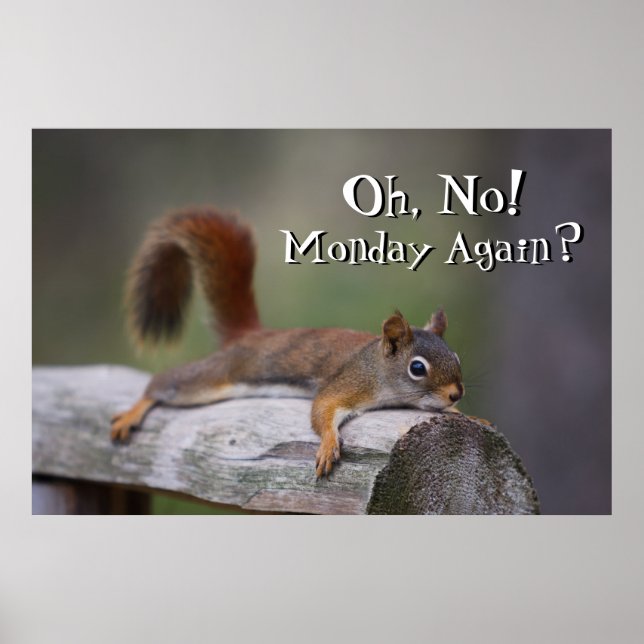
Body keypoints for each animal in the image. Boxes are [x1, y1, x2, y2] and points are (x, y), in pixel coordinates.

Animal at [111, 207, 465, 478]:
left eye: (457, 358)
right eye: (417, 368)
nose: (456, 393)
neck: (378, 368)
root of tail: (251, 335)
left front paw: (463, 413)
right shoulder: (349, 383)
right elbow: (322, 409)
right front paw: (328, 444)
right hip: (215, 377)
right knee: (166, 383)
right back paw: (132, 413)